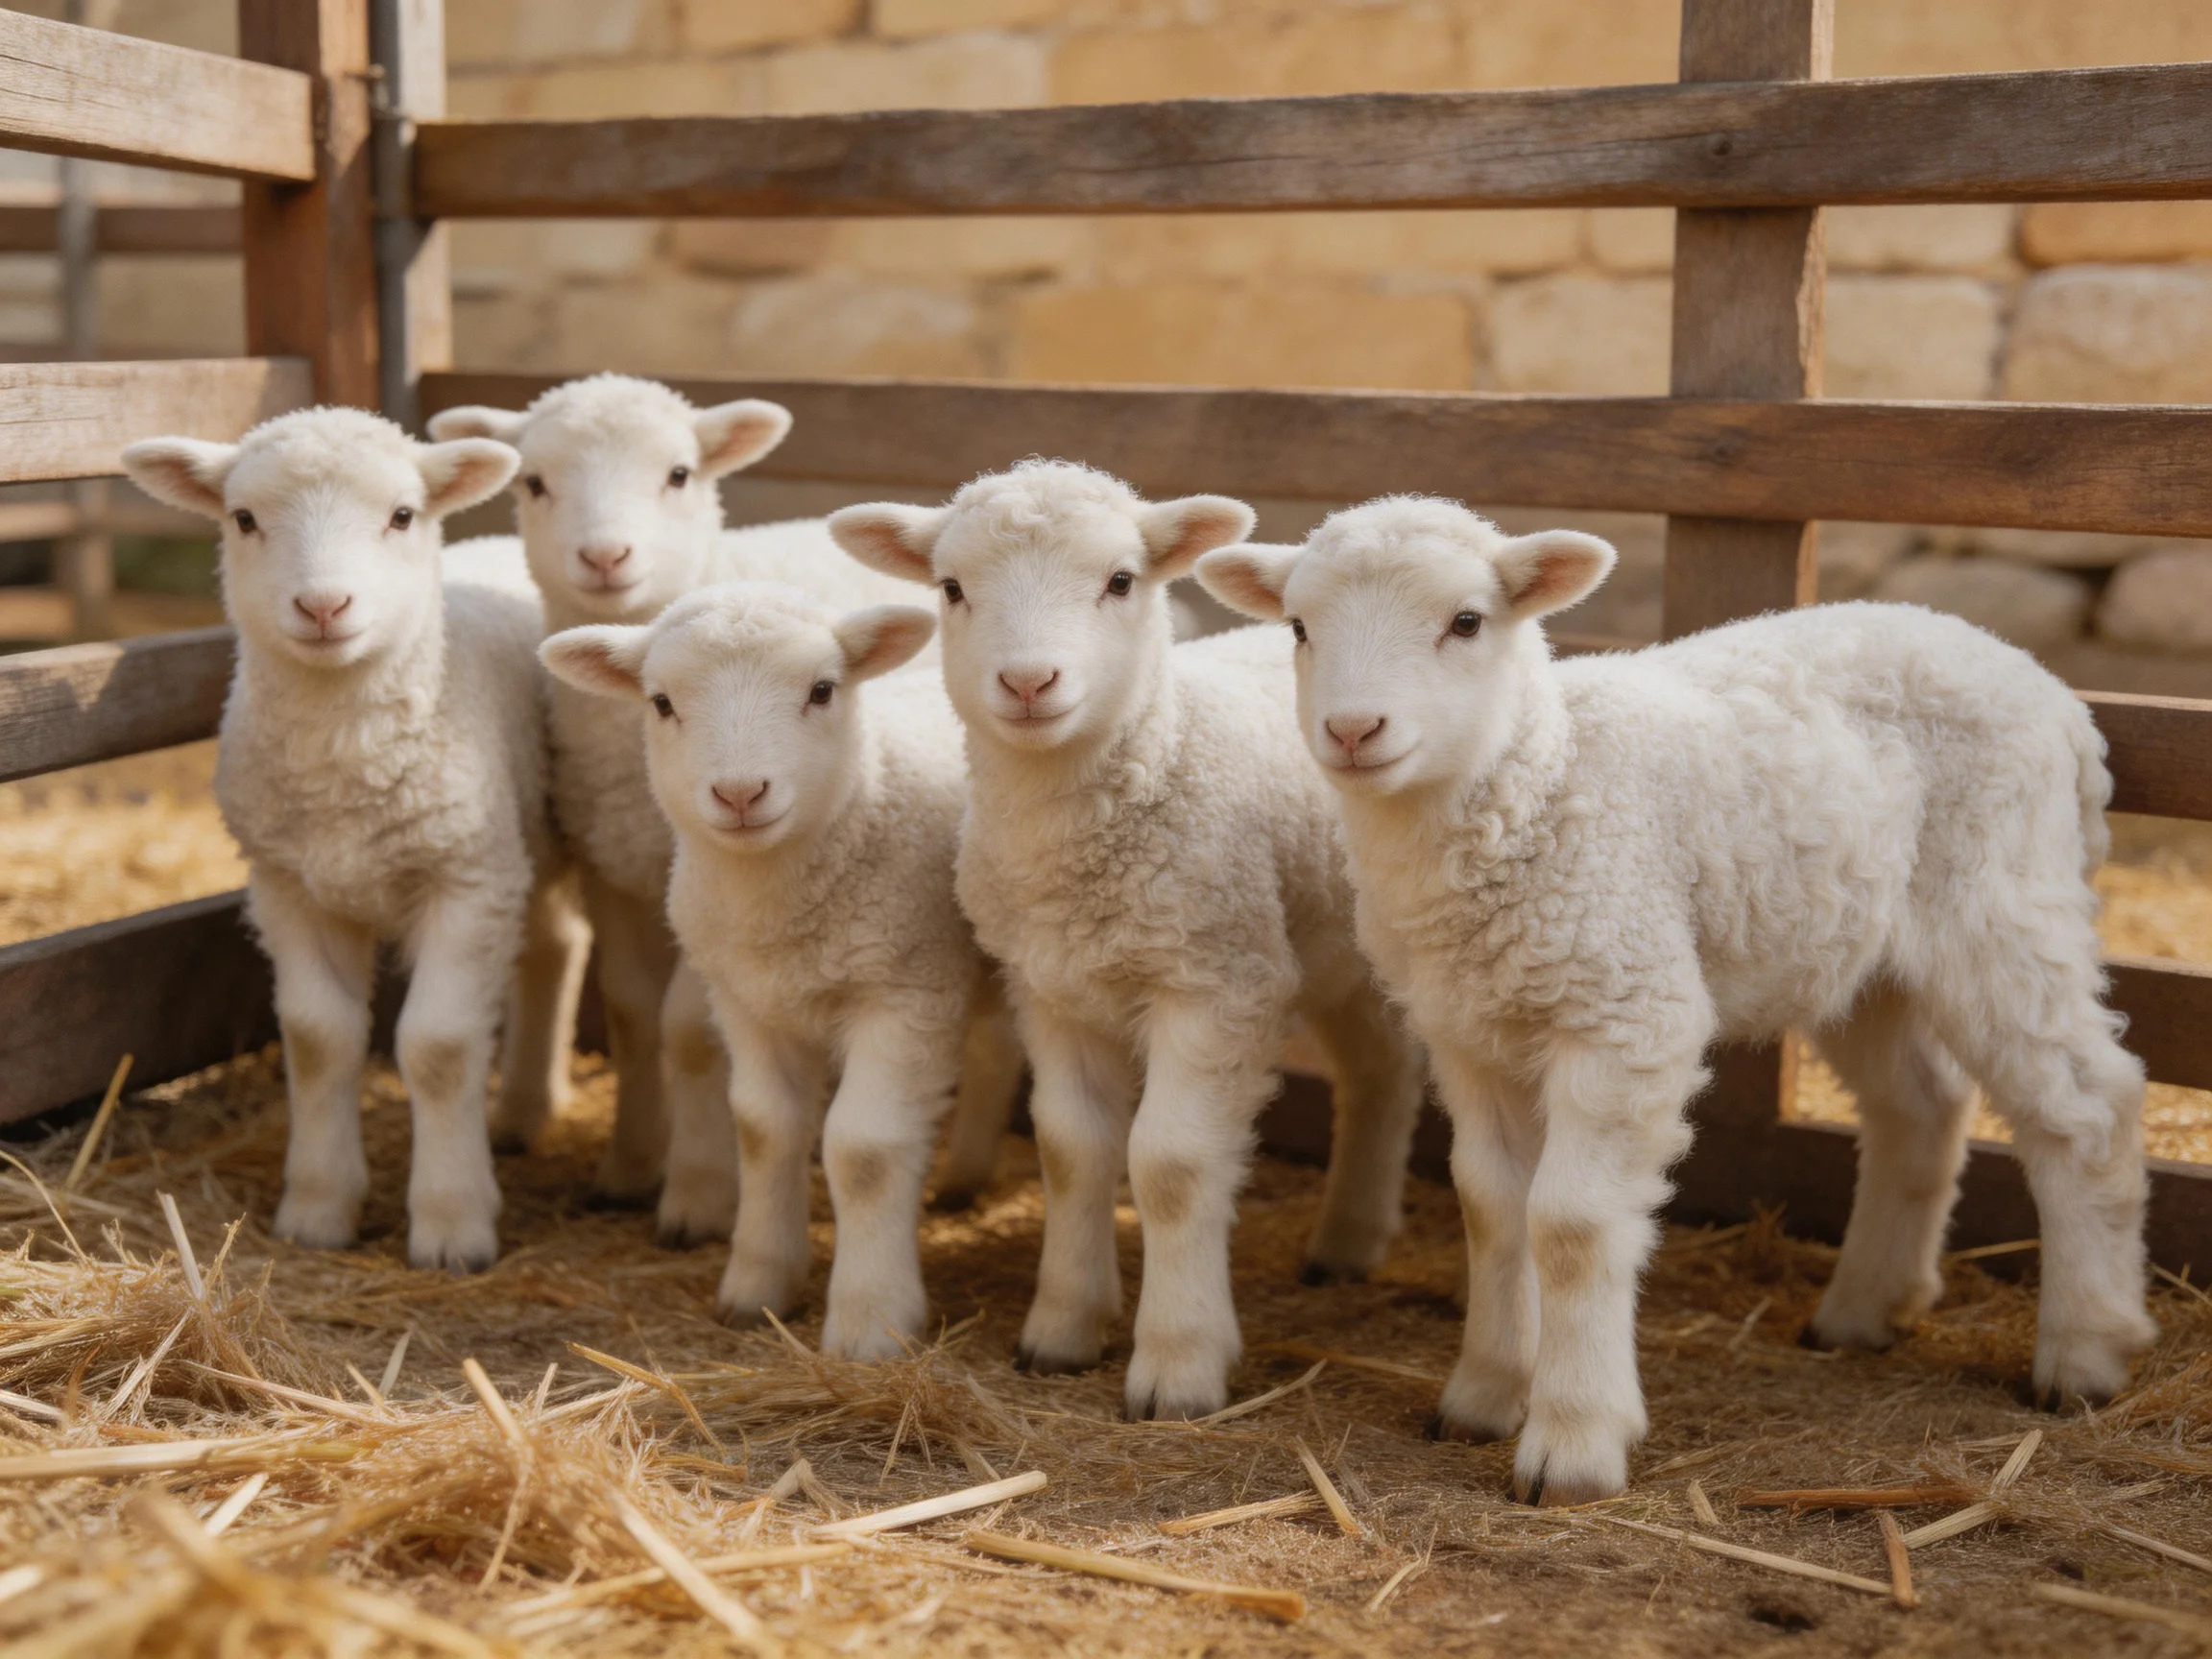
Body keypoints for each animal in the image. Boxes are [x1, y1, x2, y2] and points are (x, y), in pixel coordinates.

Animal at [121, 407, 587, 1273]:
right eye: (243, 518)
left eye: (402, 515)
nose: (323, 605)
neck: (343, 773)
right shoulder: (287, 886)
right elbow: (317, 1039)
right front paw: (316, 1208)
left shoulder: (465, 878)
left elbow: (438, 1046)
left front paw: (452, 1223)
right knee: (551, 944)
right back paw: (519, 1113)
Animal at [425, 375, 974, 1240]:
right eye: (534, 481)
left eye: (679, 474)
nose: (606, 557)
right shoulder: (619, 870)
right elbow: (629, 1012)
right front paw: (629, 1164)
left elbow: (688, 1031)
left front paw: (698, 1193)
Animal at [540, 584, 1022, 1354]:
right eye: (662, 702)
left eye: (822, 690)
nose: (740, 794)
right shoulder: (747, 1001)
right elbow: (764, 1128)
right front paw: (757, 1286)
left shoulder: (905, 993)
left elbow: (864, 1148)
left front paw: (870, 1320)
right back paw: (964, 1180)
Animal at [828, 460, 1427, 1420]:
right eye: (951, 588)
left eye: (1119, 581)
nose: (1029, 682)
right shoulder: (1054, 989)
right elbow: (1073, 1151)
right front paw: (1062, 1328)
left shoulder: (1216, 980)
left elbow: (1172, 1165)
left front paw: (1178, 1366)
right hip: (1329, 951)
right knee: (1379, 1069)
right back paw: (1345, 1239)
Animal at [1195, 495, 2156, 1504]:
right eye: (1299, 628)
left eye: (1465, 621)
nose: (1352, 730)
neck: (1543, 780)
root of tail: (2055, 698)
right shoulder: (1474, 1027)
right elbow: (1492, 1207)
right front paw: (1486, 1393)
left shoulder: (1626, 1011)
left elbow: (1571, 1224)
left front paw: (1573, 1440)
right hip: (1864, 951)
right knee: (1921, 1107)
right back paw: (1861, 1311)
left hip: (2003, 901)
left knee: (2086, 1105)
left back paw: (2087, 1351)